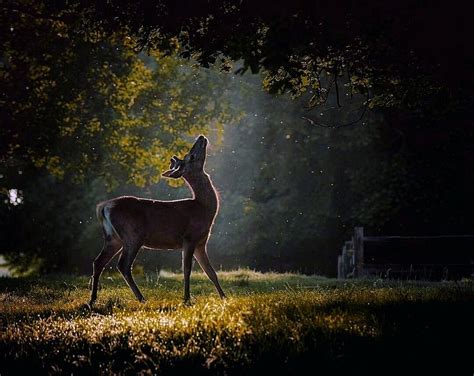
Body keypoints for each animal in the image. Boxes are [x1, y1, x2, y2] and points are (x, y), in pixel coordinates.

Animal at [89, 137, 226, 306]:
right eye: (191, 156)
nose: (201, 137)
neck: (203, 209)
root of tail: (104, 207)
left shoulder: (201, 243)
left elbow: (211, 272)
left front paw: (224, 298)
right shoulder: (189, 238)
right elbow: (187, 270)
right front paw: (187, 299)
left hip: (113, 238)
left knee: (98, 262)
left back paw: (93, 299)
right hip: (133, 235)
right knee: (123, 265)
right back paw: (141, 298)